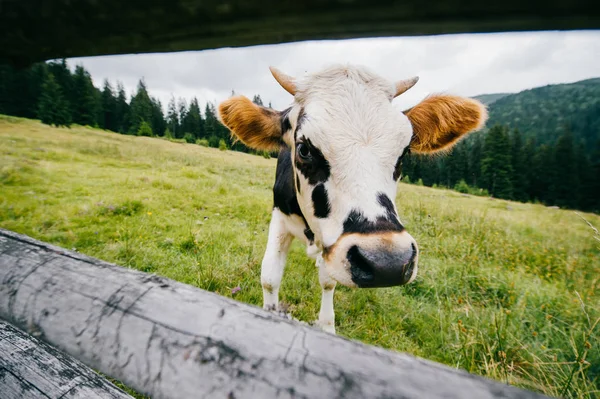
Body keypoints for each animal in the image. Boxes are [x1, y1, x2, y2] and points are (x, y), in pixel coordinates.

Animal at [218, 65, 486, 334]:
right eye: (304, 149)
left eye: (403, 153)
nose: (387, 262)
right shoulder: (280, 216)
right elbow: (270, 277)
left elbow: (328, 283)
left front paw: (327, 326)